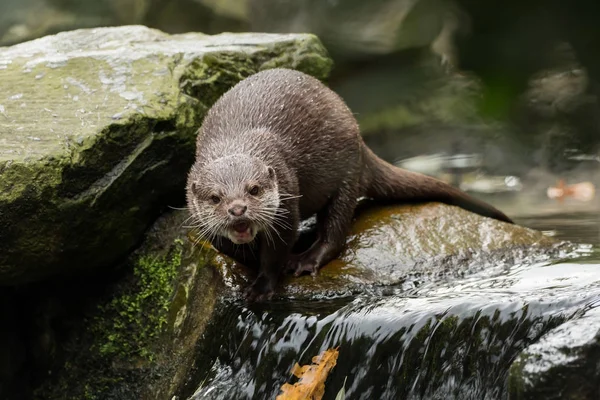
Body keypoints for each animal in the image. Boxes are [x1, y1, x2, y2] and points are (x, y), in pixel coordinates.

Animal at [186, 67, 510, 302]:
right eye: (215, 198)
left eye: (253, 189)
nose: (238, 209)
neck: (236, 143)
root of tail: (359, 140)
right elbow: (227, 246)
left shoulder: (287, 200)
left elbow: (276, 252)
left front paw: (262, 287)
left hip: (347, 176)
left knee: (336, 231)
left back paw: (307, 259)